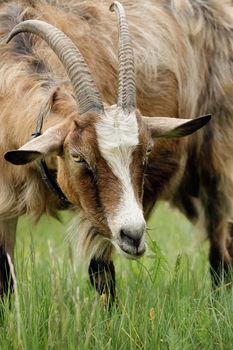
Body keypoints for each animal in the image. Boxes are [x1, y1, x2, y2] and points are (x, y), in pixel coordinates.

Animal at [0, 0, 231, 304]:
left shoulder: (101, 219)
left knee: (221, 247)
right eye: (77, 156)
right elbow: (5, 277)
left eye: (147, 150)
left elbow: (102, 274)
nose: (134, 235)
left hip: (219, 161)